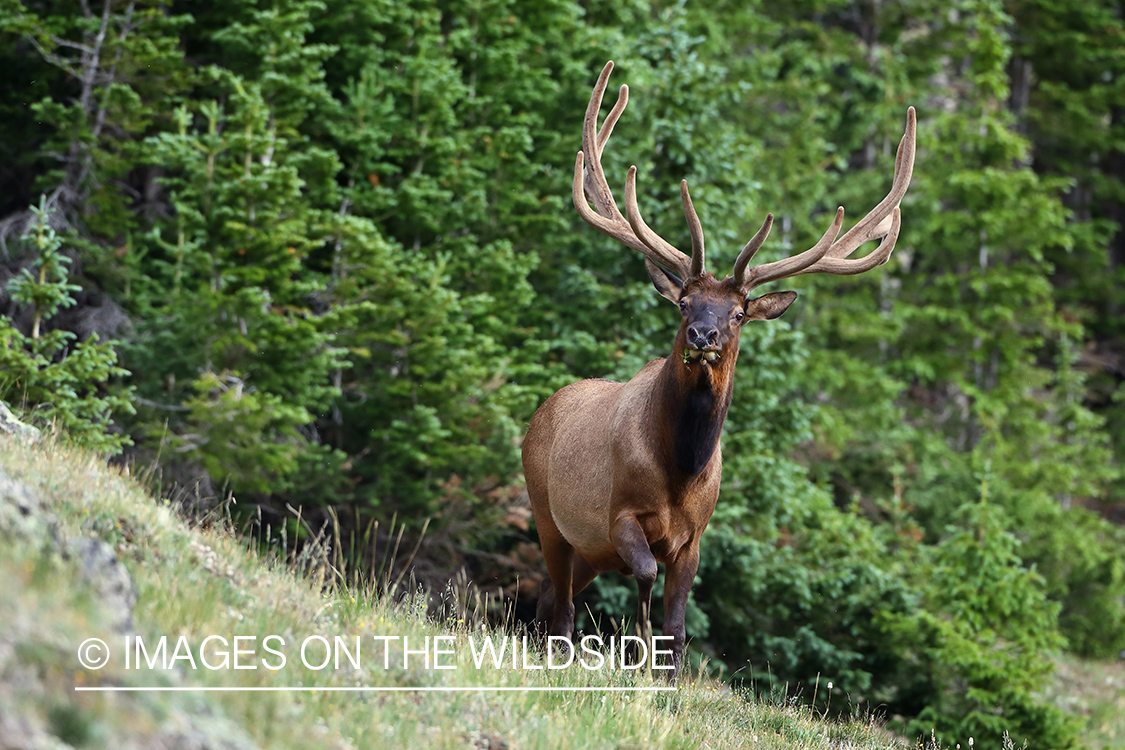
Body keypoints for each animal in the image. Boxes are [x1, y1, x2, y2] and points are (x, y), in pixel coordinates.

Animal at [522, 61, 918, 679]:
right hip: (550, 517)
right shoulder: (619, 516)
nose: (703, 336)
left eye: (736, 313)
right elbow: (644, 577)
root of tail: (542, 411)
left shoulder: (694, 537)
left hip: (583, 549)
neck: (680, 470)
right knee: (559, 606)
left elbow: (680, 626)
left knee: (547, 600)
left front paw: (667, 677)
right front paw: (638, 650)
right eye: (685, 302)